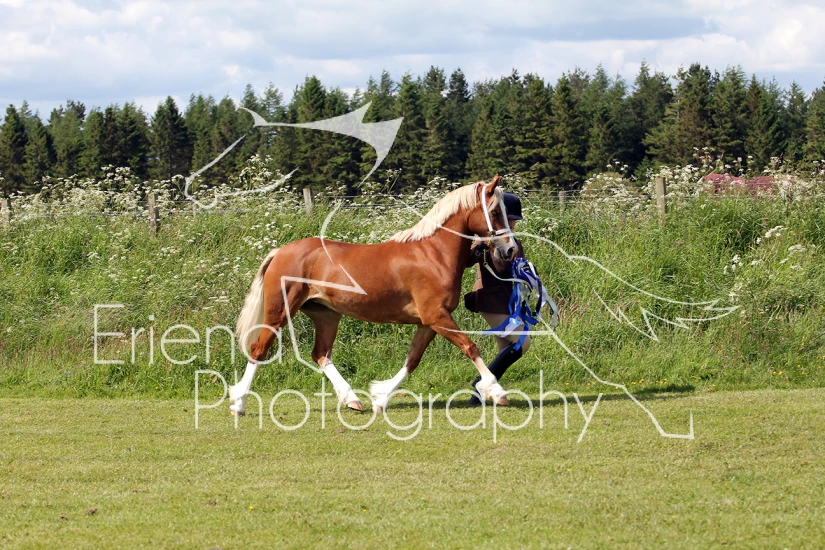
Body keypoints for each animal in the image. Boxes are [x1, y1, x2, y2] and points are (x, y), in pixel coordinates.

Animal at [228, 175, 517, 416]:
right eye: (495, 211)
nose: (510, 250)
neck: (433, 253)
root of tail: (280, 251)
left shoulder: (428, 322)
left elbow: (412, 360)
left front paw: (380, 398)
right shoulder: (437, 317)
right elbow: (470, 347)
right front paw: (497, 392)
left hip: (326, 316)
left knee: (321, 354)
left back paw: (352, 400)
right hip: (280, 312)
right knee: (259, 349)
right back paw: (239, 405)